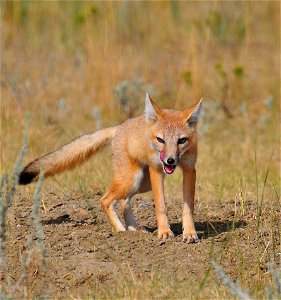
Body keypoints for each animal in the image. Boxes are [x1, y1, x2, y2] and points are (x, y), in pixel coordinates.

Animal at [19, 95, 201, 243]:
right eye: (160, 140)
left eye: (181, 140)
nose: (170, 160)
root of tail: (119, 127)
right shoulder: (156, 168)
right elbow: (161, 205)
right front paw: (164, 232)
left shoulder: (190, 169)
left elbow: (188, 207)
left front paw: (189, 233)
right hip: (133, 179)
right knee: (105, 200)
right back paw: (121, 231)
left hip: (141, 183)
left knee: (123, 201)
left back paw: (133, 229)